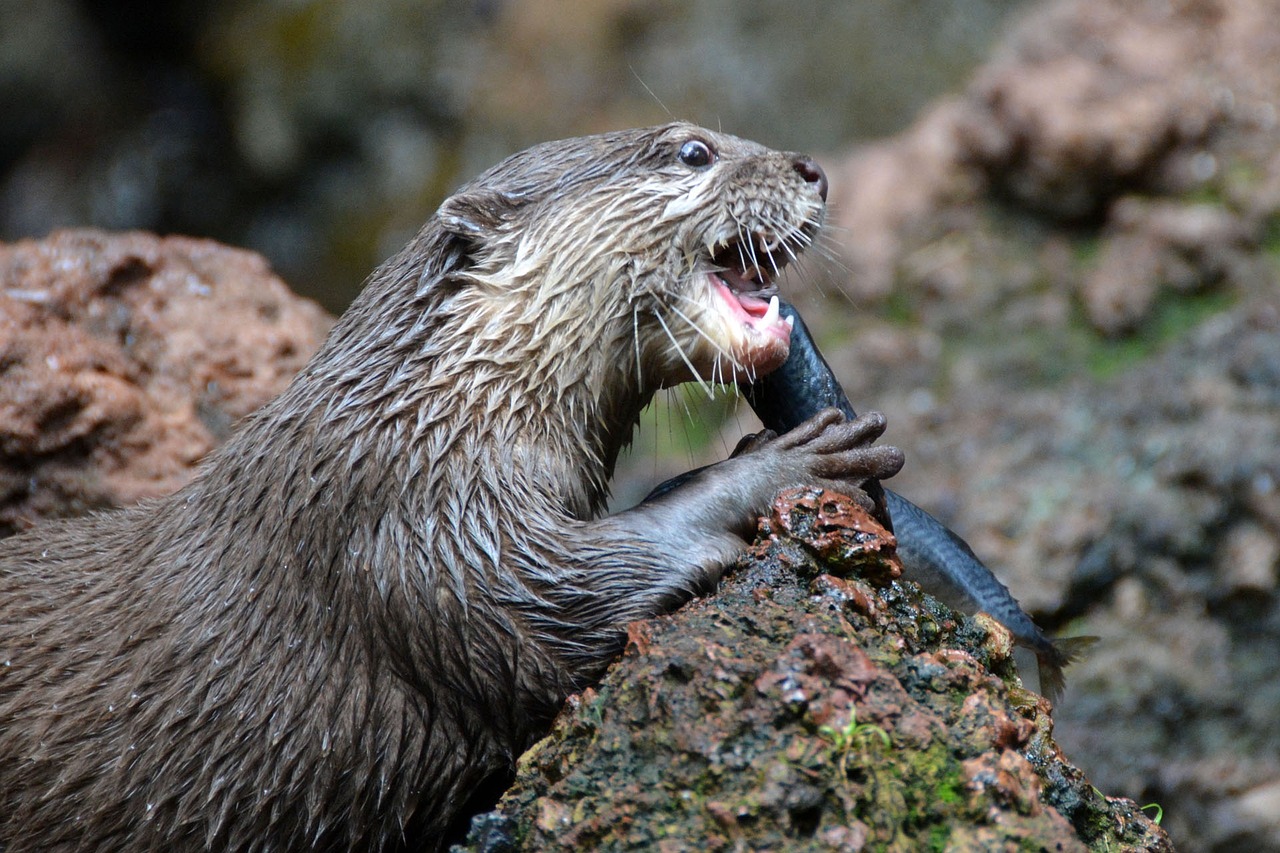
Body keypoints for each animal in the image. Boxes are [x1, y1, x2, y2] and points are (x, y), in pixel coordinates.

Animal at [0, 122, 906, 845]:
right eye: (693, 151)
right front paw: (778, 464)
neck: (436, 414)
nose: (813, 169)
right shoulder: (411, 528)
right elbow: (563, 596)